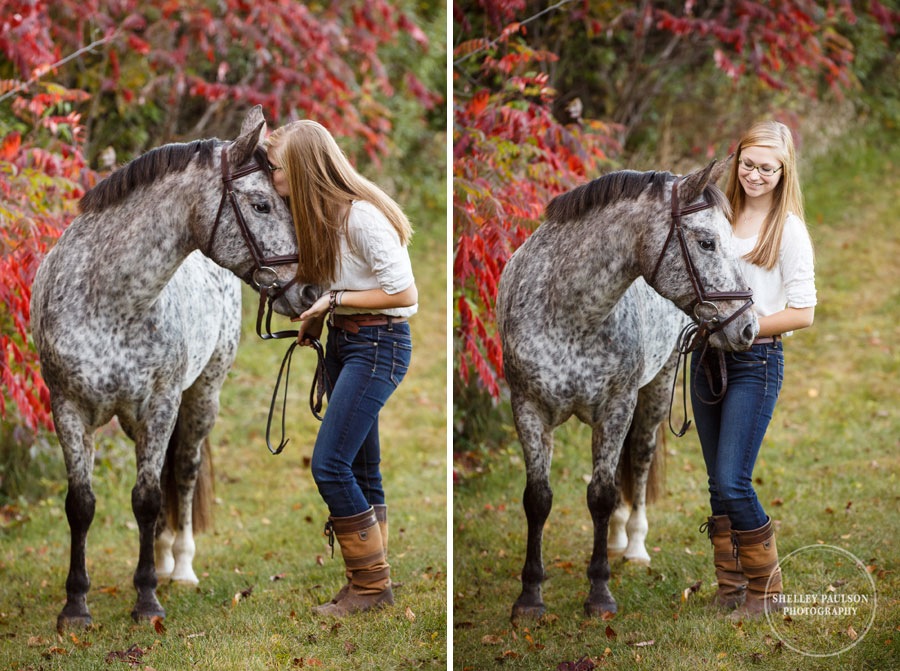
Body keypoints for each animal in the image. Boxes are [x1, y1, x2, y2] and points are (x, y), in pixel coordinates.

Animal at [30, 105, 316, 632]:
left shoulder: (161, 406)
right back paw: (161, 559)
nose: (307, 291)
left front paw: (146, 600)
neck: (108, 300)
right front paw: (75, 605)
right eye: (262, 204)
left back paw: (179, 566)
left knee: (181, 471)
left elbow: (146, 498)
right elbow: (81, 504)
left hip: (202, 397)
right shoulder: (69, 410)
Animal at [500, 159, 760, 620]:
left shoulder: (616, 408)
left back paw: (634, 544)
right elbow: (538, 499)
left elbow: (602, 496)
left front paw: (599, 593)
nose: (747, 327)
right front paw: (530, 596)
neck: (568, 312)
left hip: (655, 393)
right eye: (707, 242)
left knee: (637, 459)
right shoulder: (528, 409)